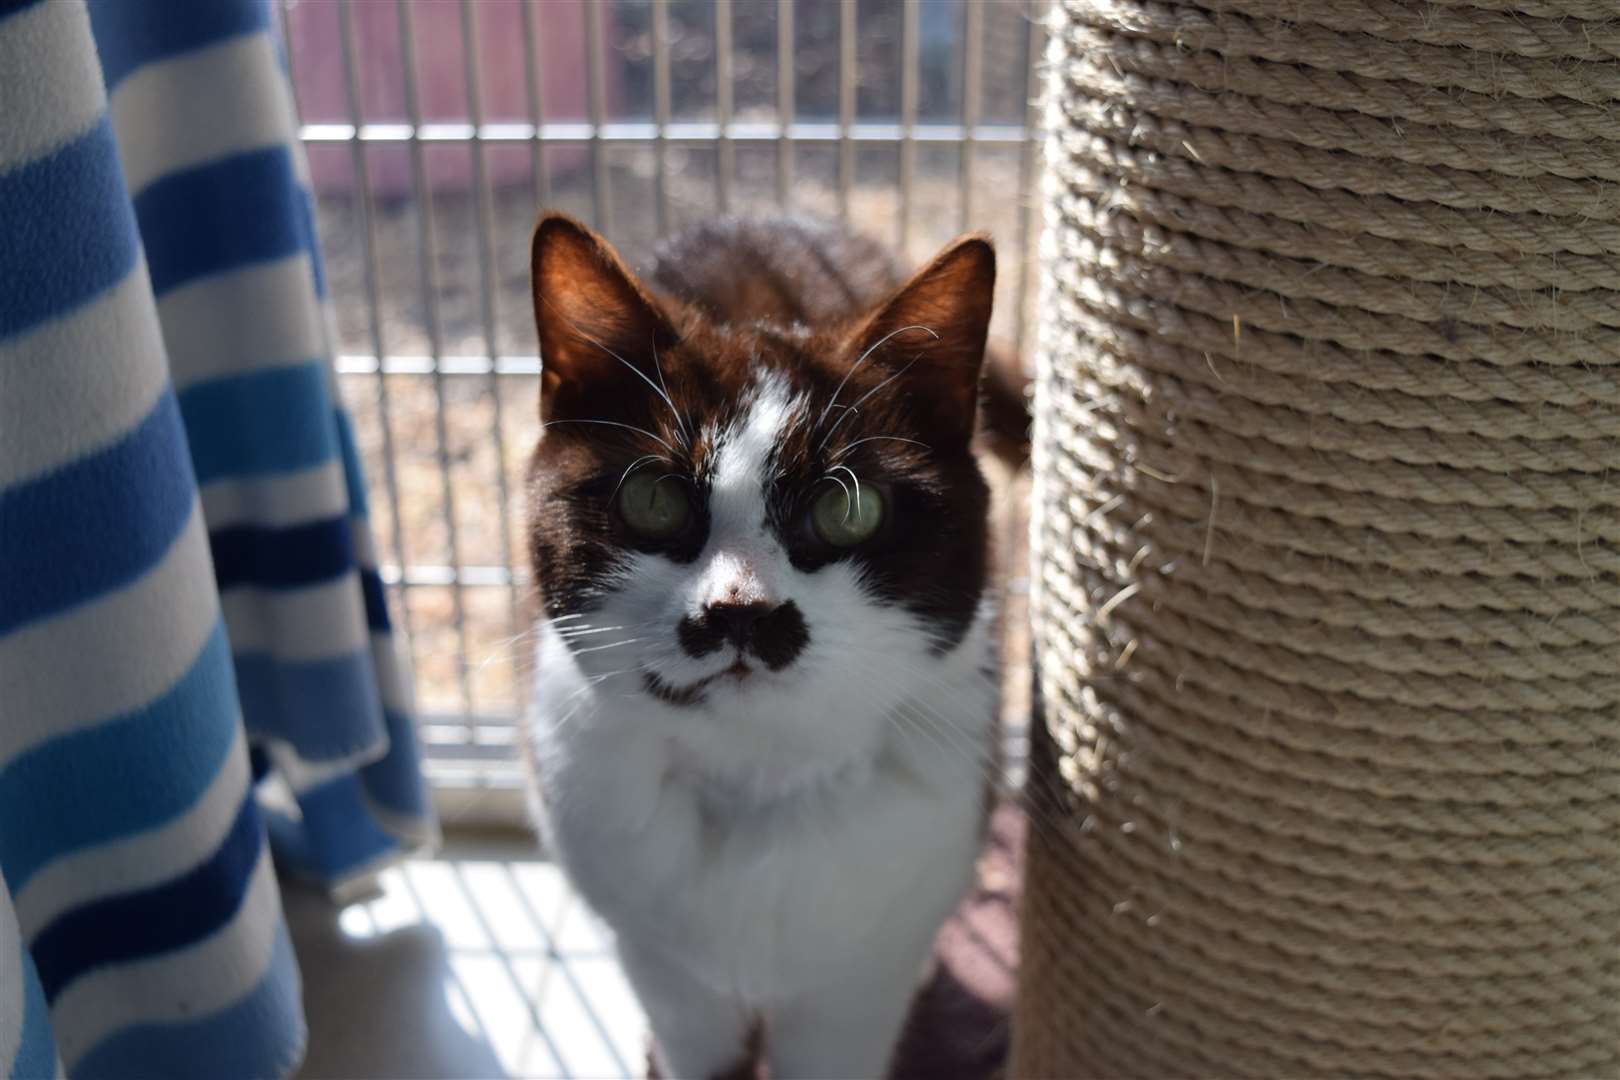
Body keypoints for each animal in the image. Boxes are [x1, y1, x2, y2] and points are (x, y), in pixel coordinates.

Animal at [524, 213, 1010, 1080]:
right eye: (653, 500)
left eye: (849, 510)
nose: (741, 611)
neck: (757, 771)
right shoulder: (662, 960)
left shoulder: (861, 976)